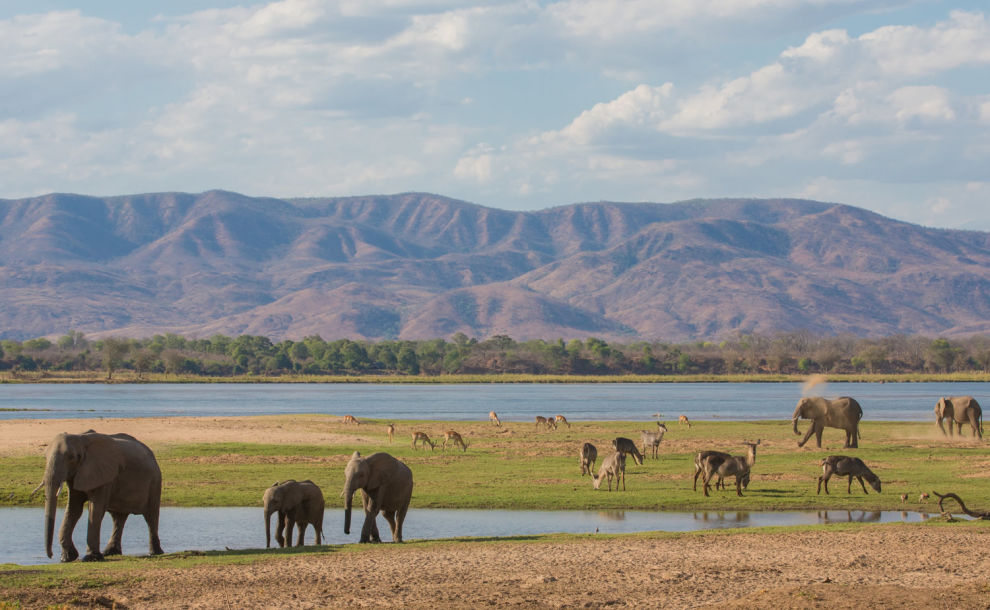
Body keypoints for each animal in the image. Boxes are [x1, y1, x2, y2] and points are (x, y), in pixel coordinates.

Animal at [42, 428, 163, 560]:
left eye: (72, 458)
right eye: (45, 457)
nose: (50, 555)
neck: (81, 439)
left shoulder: (105, 475)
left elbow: (95, 509)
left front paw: (91, 558)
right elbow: (74, 510)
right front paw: (67, 558)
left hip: (154, 482)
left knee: (151, 516)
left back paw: (155, 553)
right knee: (118, 517)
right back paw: (110, 552)